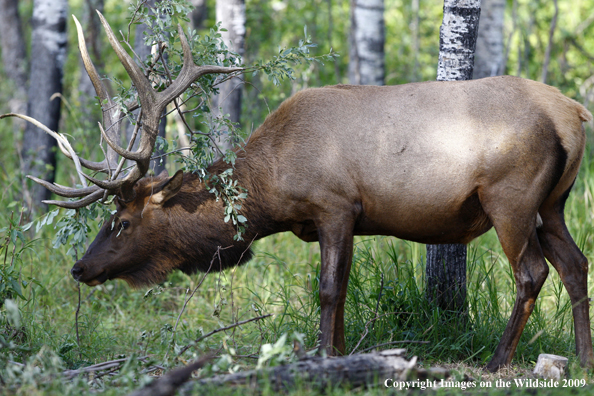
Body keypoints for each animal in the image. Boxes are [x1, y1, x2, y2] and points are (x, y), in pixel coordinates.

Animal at [4, 10, 592, 372]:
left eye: (121, 222)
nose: (80, 267)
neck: (271, 189)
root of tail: (574, 114)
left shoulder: (335, 205)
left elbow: (328, 290)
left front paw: (324, 358)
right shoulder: (342, 217)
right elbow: (343, 288)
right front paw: (341, 356)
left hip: (510, 198)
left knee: (532, 272)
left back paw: (496, 361)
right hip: (553, 204)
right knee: (575, 263)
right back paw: (583, 359)